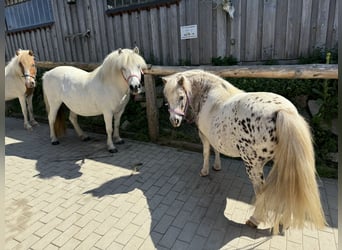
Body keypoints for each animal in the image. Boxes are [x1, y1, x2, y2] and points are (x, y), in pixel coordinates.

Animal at [163, 70, 326, 234]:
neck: (207, 94)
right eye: (167, 99)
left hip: (253, 165)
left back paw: (255, 220)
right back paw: (283, 223)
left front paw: (205, 171)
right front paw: (217, 166)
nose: (174, 121)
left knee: (261, 191)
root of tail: (281, 111)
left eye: (181, 97)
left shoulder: (204, 135)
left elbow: (206, 152)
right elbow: (216, 150)